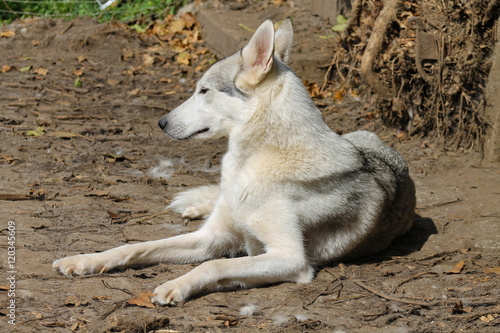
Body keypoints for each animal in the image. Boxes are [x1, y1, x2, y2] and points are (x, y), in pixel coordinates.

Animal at [52, 18, 416, 304]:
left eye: (204, 91)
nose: (161, 123)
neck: (251, 164)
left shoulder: (289, 258)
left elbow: (214, 265)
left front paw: (175, 286)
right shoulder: (212, 237)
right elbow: (136, 246)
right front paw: (85, 260)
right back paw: (195, 206)